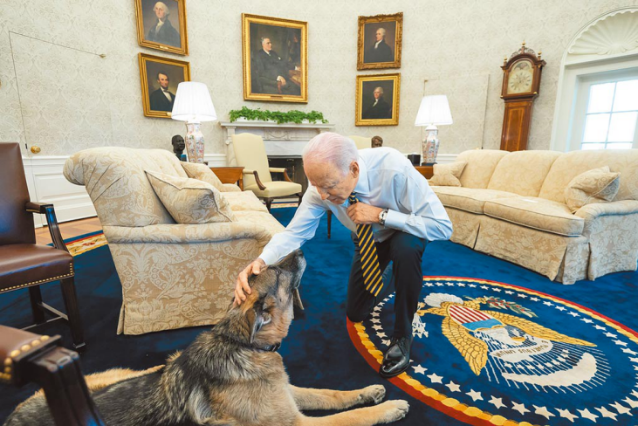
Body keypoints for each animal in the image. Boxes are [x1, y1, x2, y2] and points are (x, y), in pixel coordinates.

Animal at [5, 251, 410, 426]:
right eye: (278, 272)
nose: (300, 249)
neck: (243, 345)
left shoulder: (289, 392)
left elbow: (329, 394)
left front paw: (368, 392)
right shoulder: (295, 423)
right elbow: (351, 418)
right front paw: (387, 408)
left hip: (120, 373)